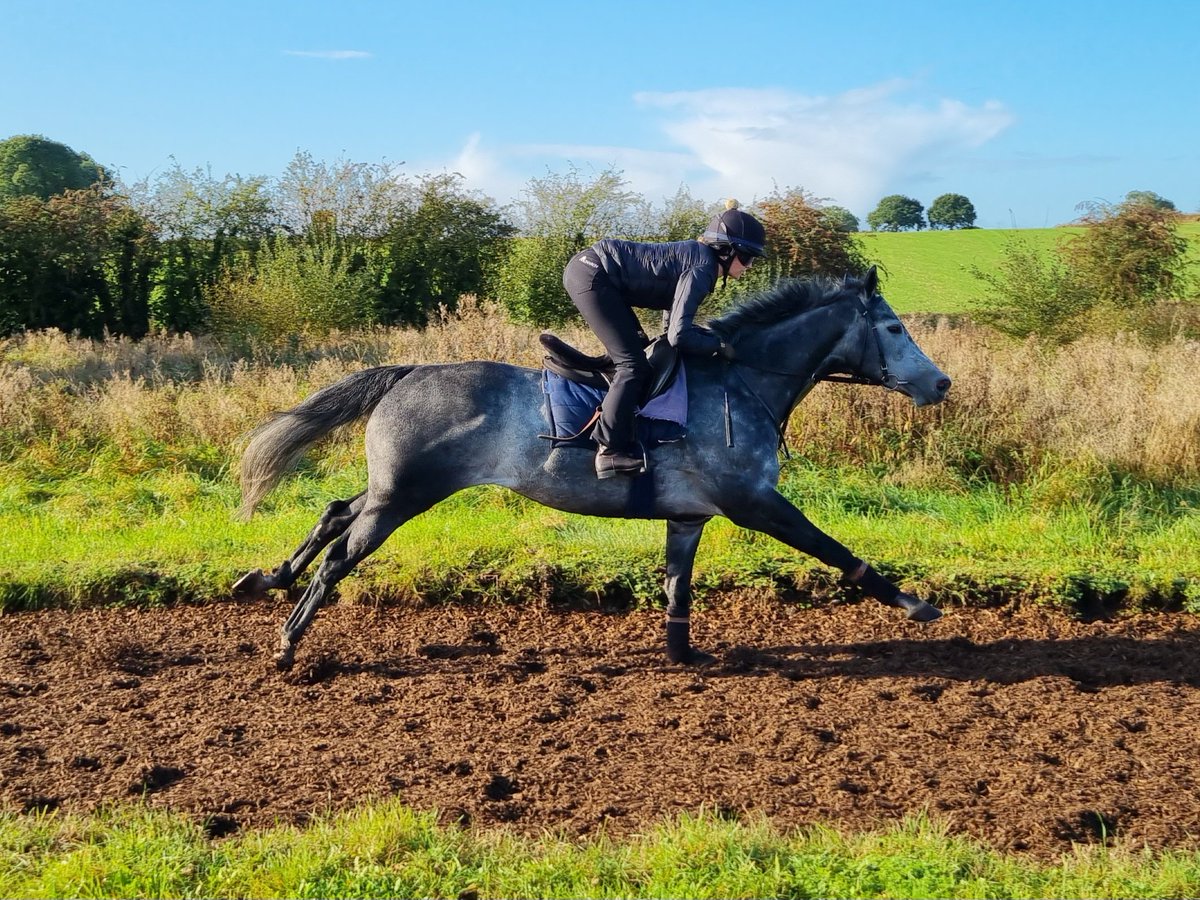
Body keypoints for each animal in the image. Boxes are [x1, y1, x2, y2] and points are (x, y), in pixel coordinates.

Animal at [233, 266, 951, 670]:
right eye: (892, 328)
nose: (941, 383)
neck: (743, 380)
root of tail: (409, 372)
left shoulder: (689, 516)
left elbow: (678, 587)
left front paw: (683, 654)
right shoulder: (755, 502)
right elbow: (834, 550)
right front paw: (916, 604)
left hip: (395, 489)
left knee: (333, 513)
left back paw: (262, 579)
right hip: (404, 497)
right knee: (338, 556)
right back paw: (289, 643)